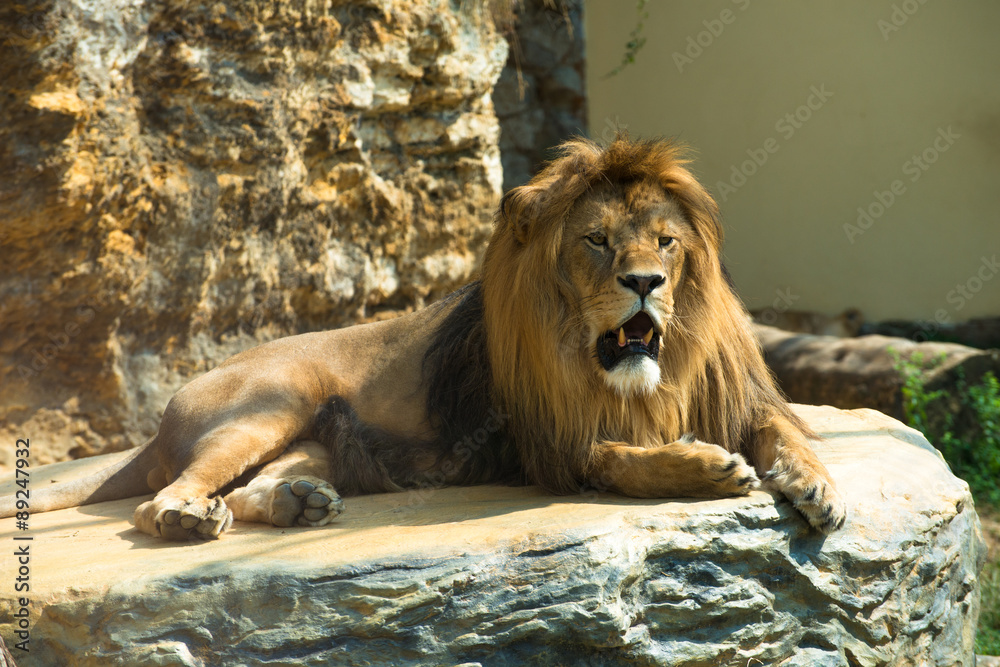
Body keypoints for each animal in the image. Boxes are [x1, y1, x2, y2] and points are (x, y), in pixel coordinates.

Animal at [0, 137, 846, 540]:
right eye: (598, 241)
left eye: (666, 242)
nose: (646, 282)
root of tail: (159, 420)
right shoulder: (542, 438)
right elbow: (614, 458)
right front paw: (705, 466)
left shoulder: (741, 395)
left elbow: (787, 434)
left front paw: (818, 487)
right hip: (271, 403)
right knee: (162, 500)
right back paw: (187, 518)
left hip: (314, 438)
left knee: (242, 489)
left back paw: (298, 503)